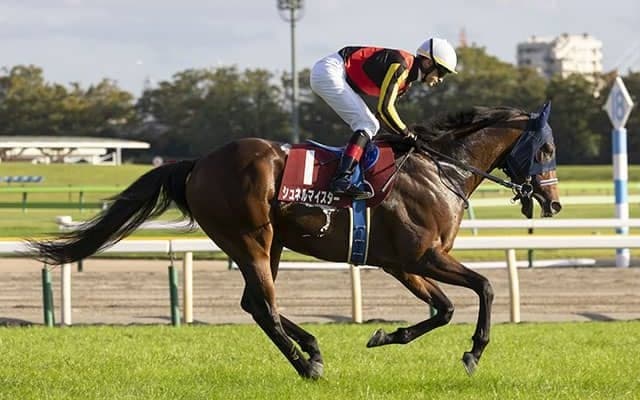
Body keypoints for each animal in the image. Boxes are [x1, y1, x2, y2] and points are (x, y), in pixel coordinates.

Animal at [29, 102, 562, 379]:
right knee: (262, 305)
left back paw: (312, 348)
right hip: (250, 237)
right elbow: (485, 288)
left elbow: (445, 309)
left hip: (272, 243)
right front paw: (473, 353)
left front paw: (385, 335)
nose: (554, 204)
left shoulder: (403, 263)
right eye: (546, 149)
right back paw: (307, 365)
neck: (439, 169)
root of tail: (198, 163)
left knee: (254, 302)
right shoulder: (423, 255)